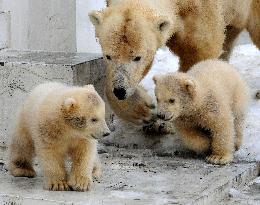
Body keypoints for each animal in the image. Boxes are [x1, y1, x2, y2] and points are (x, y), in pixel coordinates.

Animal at [90, 0, 260, 126]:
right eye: (108, 56)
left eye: (137, 57)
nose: (120, 90)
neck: (182, 4)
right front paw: (141, 110)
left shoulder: (202, 12)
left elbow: (201, 52)